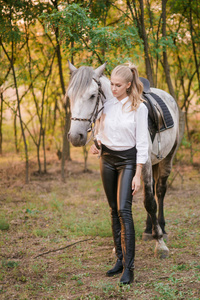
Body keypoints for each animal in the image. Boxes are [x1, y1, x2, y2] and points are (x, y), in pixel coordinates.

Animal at [67, 62, 180, 258]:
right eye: (70, 96)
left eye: (92, 95)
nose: (75, 136)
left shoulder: (145, 163)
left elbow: (150, 202)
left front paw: (160, 243)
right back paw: (148, 229)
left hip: (167, 158)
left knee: (159, 191)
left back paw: (161, 228)